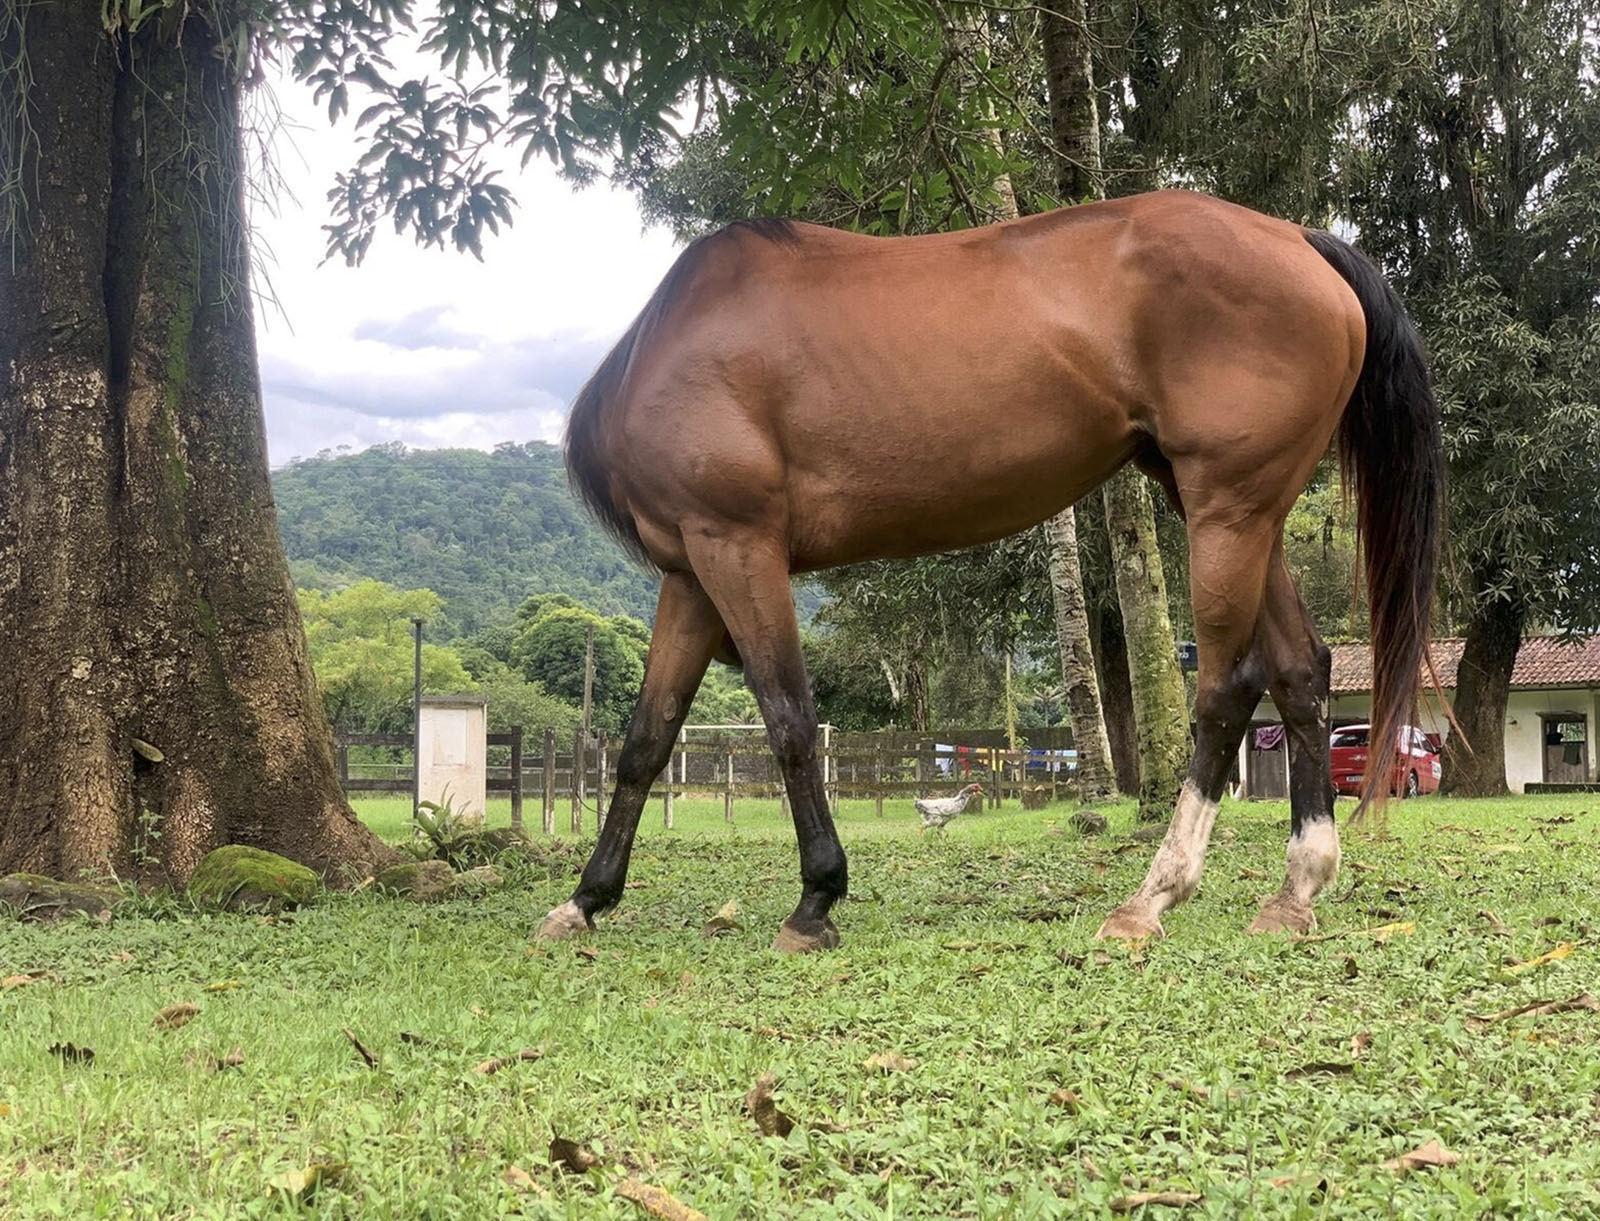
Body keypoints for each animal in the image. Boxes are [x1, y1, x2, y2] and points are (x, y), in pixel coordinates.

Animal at [537, 193, 1440, 953]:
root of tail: (1298, 239)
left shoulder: (737, 546)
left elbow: (789, 720)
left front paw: (816, 898)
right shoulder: (691, 572)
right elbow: (645, 741)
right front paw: (585, 899)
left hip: (1227, 512)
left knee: (1226, 688)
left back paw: (1152, 896)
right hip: (1243, 513)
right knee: (1299, 672)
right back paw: (1296, 888)